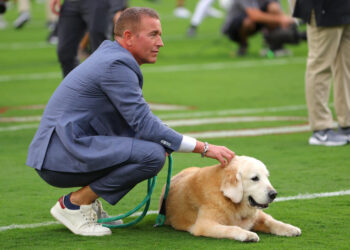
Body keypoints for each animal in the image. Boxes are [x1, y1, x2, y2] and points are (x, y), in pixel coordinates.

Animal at [161, 155, 300, 241]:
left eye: (267, 177)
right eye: (255, 178)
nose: (274, 194)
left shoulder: (256, 215)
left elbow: (271, 221)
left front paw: (290, 228)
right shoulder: (204, 224)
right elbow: (232, 227)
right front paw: (248, 234)